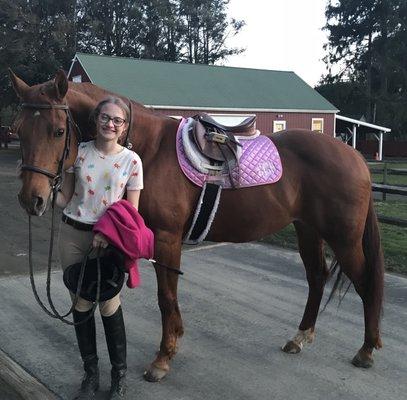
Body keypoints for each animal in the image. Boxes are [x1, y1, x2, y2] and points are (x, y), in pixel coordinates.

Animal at [10, 69, 386, 382]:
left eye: (59, 131)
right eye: (19, 130)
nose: (32, 199)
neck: (149, 149)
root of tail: (354, 156)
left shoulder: (166, 239)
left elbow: (166, 297)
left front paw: (163, 359)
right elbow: (170, 297)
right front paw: (173, 341)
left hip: (344, 239)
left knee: (366, 283)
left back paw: (366, 350)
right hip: (307, 229)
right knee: (317, 277)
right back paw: (300, 337)